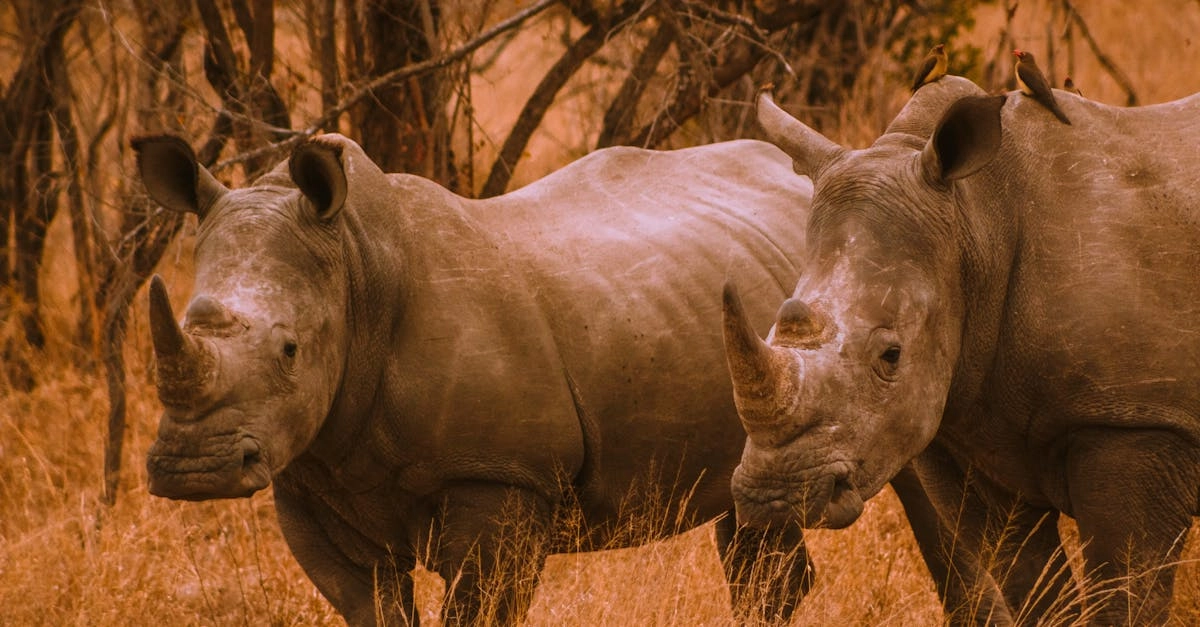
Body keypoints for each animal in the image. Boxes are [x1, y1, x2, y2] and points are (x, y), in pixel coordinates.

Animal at [134, 132, 841, 625]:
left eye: (289, 349)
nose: (192, 470)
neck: (355, 266)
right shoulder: (310, 473)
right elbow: (371, 606)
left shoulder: (499, 472)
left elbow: (479, 608)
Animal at [722, 75, 1200, 625]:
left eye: (891, 355)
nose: (773, 496)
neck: (976, 222)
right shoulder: (962, 427)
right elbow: (1031, 588)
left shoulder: (1133, 422)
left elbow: (1124, 596)